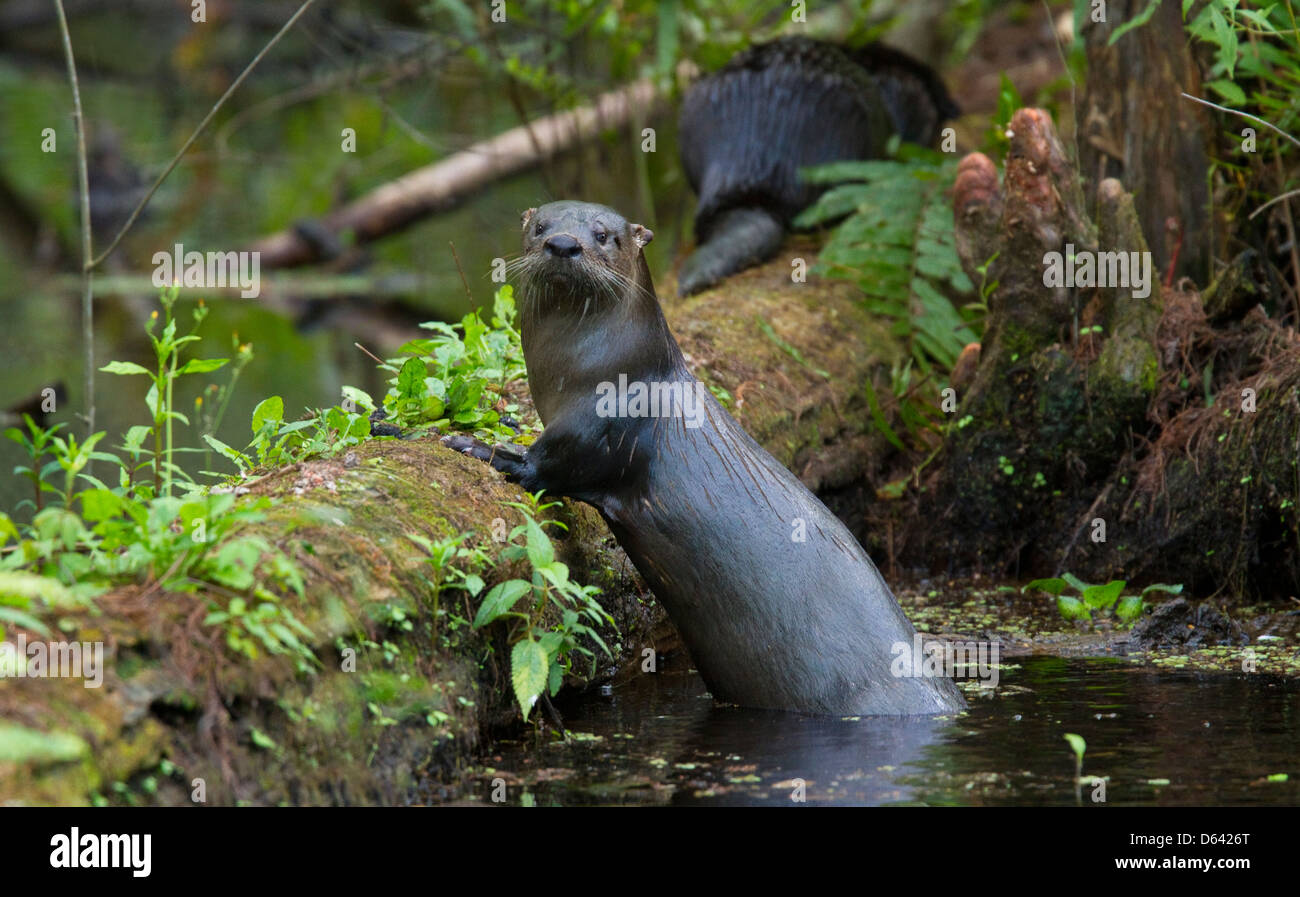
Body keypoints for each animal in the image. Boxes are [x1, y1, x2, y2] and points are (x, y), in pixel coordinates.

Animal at [447, 198, 967, 717]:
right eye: (539, 227)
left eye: (603, 235)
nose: (562, 243)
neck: (590, 372)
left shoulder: (600, 426)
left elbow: (549, 466)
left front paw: (480, 447)